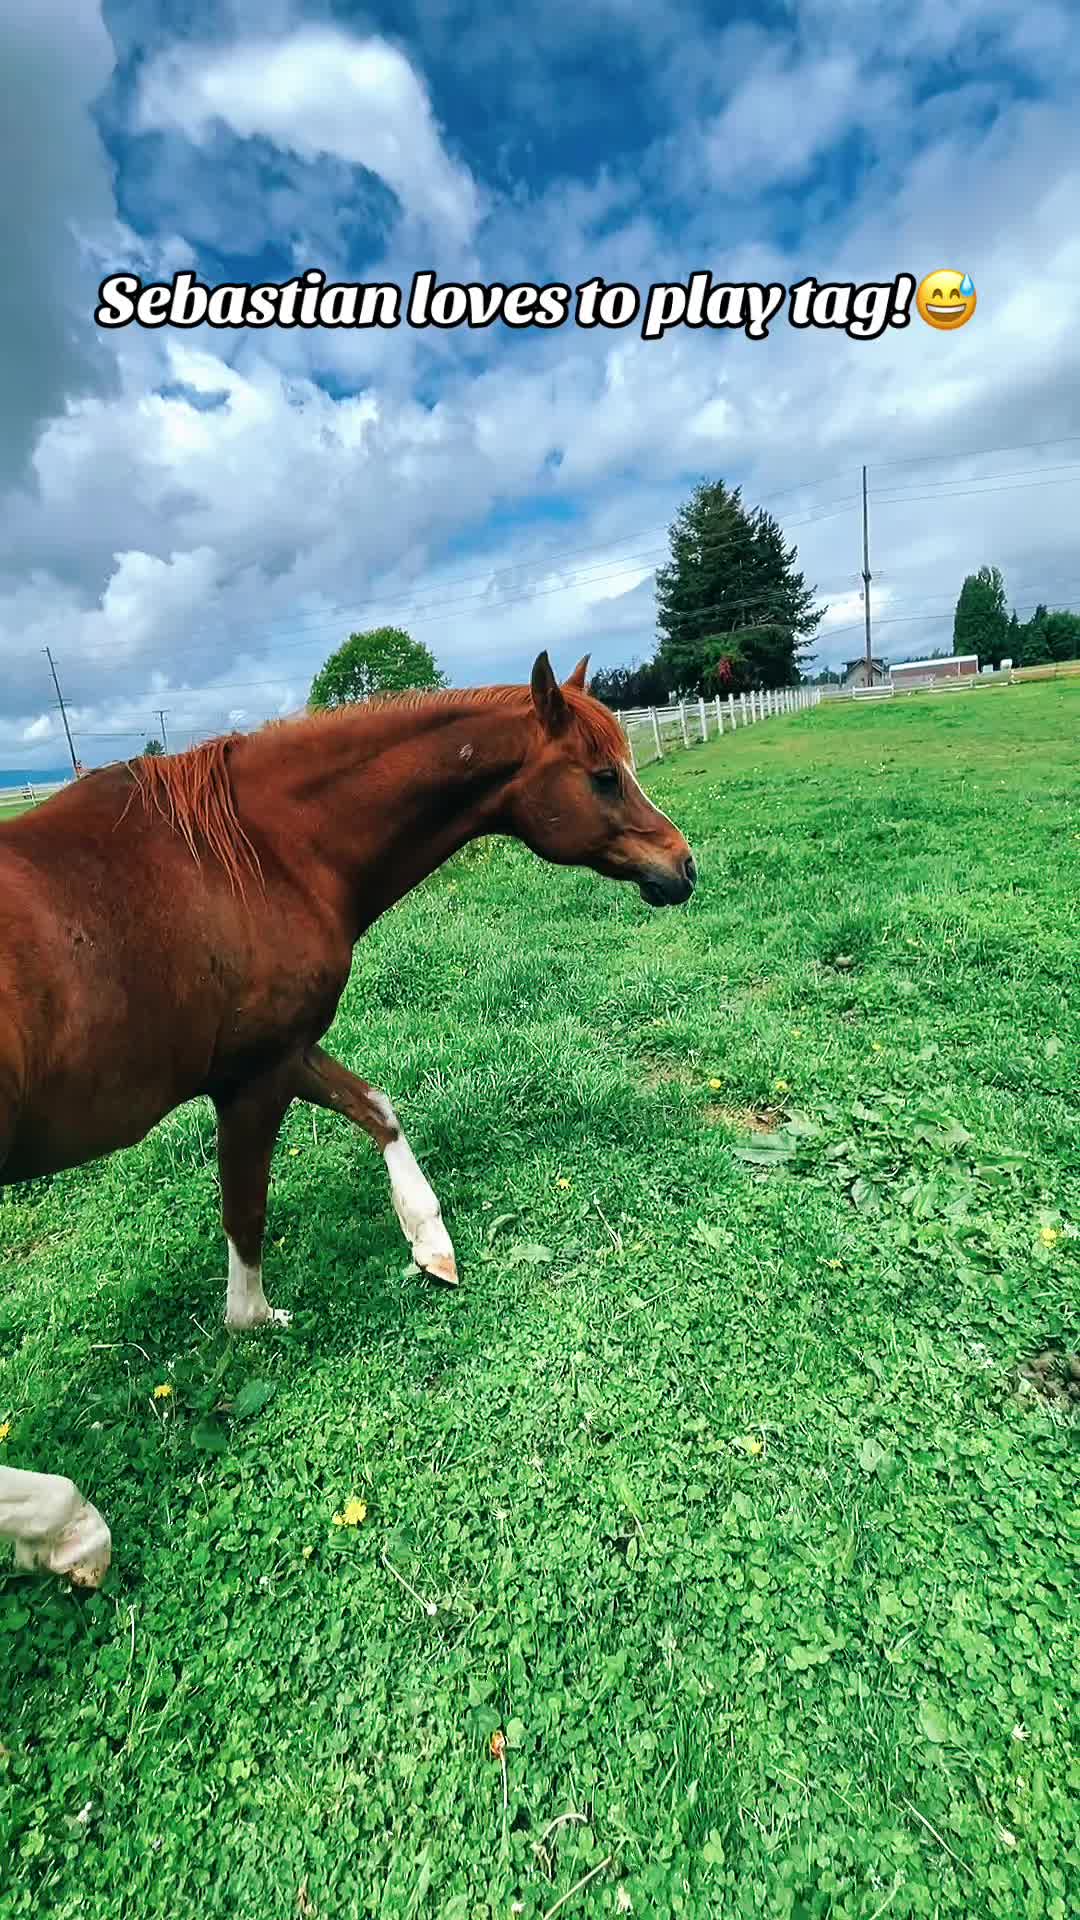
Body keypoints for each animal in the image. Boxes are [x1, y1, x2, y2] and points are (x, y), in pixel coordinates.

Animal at [0, 651, 696, 1585]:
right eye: (602, 777)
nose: (684, 865)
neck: (261, 855)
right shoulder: (255, 1077)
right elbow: (247, 1211)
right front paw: (255, 1318)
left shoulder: (290, 1054)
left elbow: (380, 1109)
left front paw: (430, 1244)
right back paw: (70, 1526)